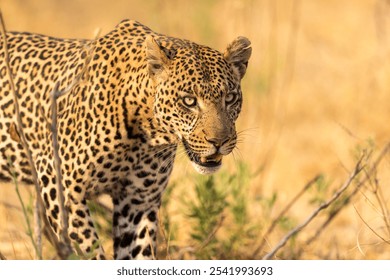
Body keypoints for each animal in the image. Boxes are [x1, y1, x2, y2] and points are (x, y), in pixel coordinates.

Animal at [0, 19, 251, 260]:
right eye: (189, 101)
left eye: (230, 98)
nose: (219, 141)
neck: (146, 134)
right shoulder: (60, 185)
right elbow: (91, 255)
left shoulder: (138, 203)